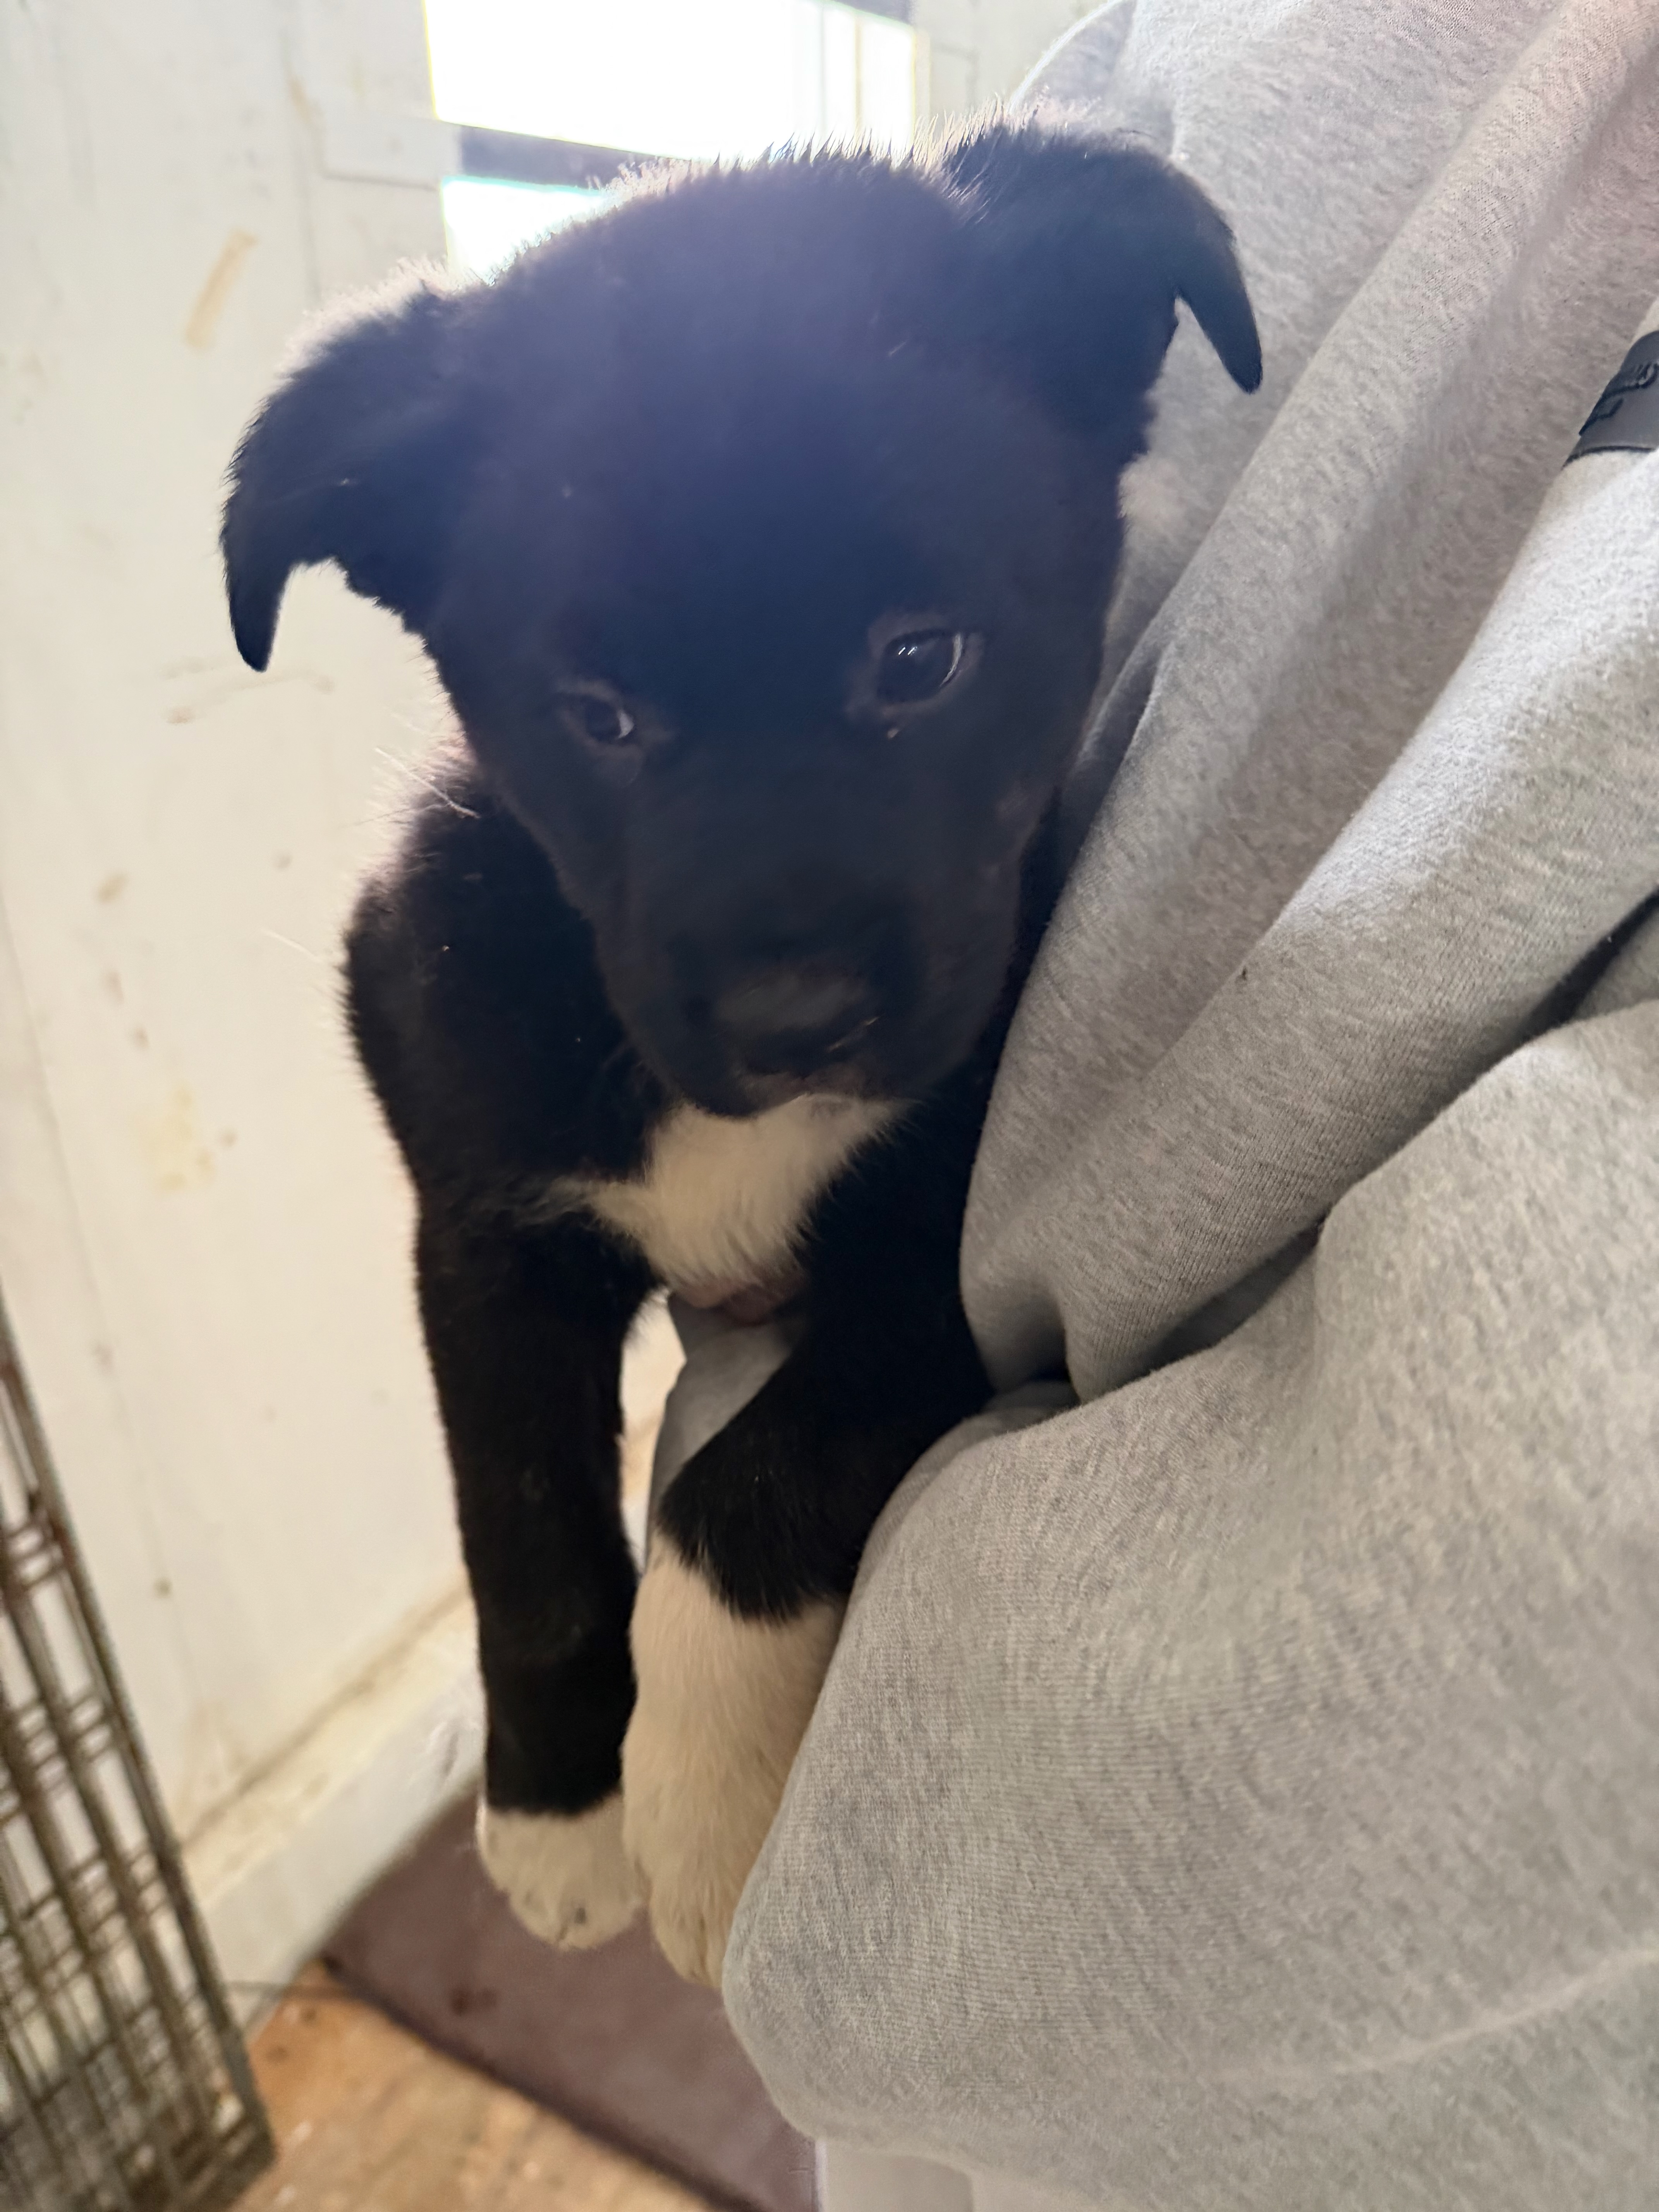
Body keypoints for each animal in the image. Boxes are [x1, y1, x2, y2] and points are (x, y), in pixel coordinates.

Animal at [221, 121, 1260, 1986]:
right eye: (598, 716)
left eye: (919, 657)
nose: (794, 1026)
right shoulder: (481, 1242)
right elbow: (529, 1537)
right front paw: (561, 1817)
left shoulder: (948, 1282)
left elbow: (742, 1486)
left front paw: (699, 1816)